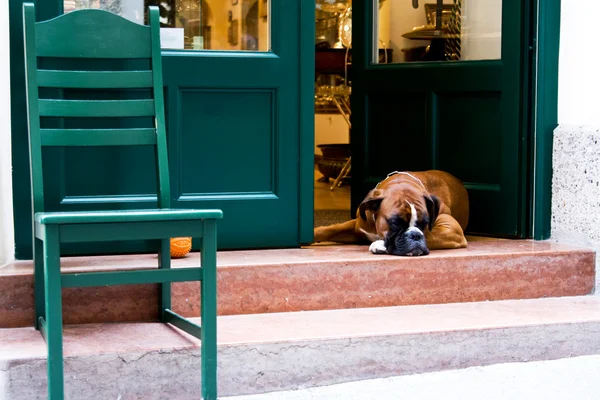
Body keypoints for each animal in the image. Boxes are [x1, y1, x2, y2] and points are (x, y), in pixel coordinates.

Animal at [314, 170, 468, 256]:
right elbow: (330, 228)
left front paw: (379, 245)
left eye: (425, 223)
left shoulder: (452, 229)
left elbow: (429, 235)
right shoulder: (357, 227)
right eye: (395, 222)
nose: (415, 236)